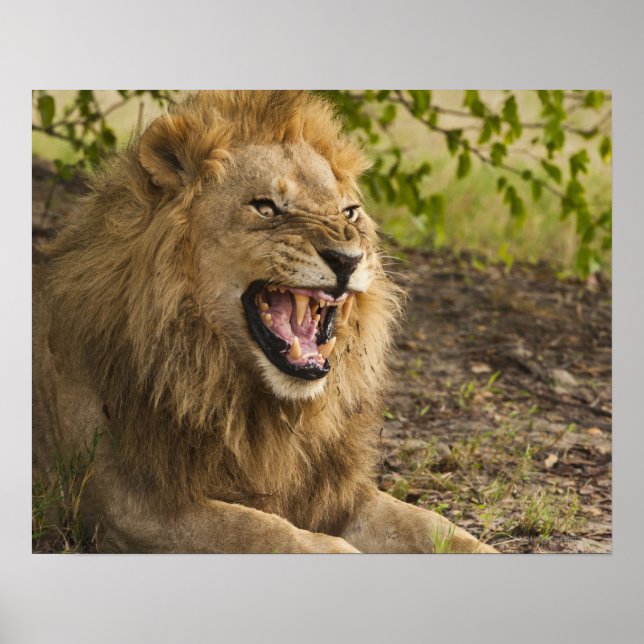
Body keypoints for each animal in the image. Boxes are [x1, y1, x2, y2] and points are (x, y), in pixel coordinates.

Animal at [33, 90, 496, 553]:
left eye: (349, 213)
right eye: (266, 207)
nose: (348, 259)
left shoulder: (335, 492)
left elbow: (431, 525)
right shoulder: (131, 507)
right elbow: (263, 530)